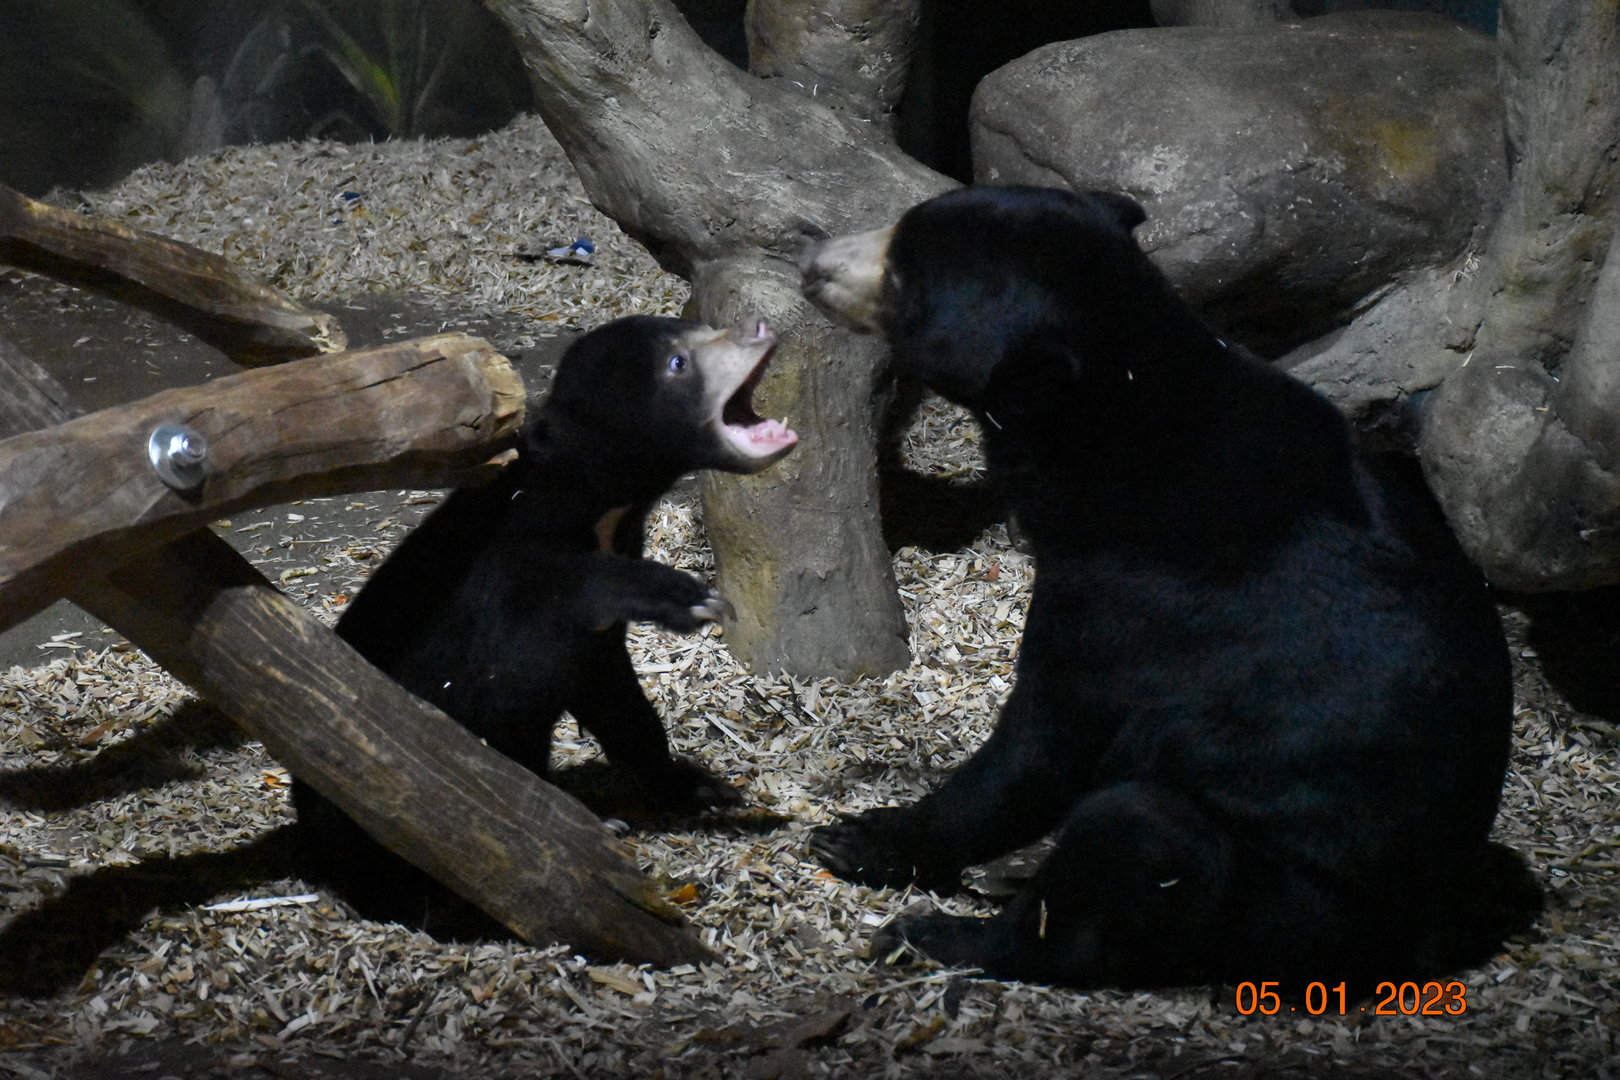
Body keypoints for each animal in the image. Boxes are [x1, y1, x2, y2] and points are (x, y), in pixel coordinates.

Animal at [293, 314, 797, 932]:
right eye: (678, 363)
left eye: (701, 327)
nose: (761, 329)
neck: (602, 511)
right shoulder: (512, 578)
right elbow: (541, 624)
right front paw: (691, 597)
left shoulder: (595, 637)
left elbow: (622, 706)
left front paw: (699, 786)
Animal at [798, 185, 1540, 992]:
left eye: (904, 272)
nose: (813, 264)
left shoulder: (1129, 592)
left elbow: (1042, 736)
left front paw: (861, 839)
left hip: (1272, 893)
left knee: (1132, 842)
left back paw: (937, 935)